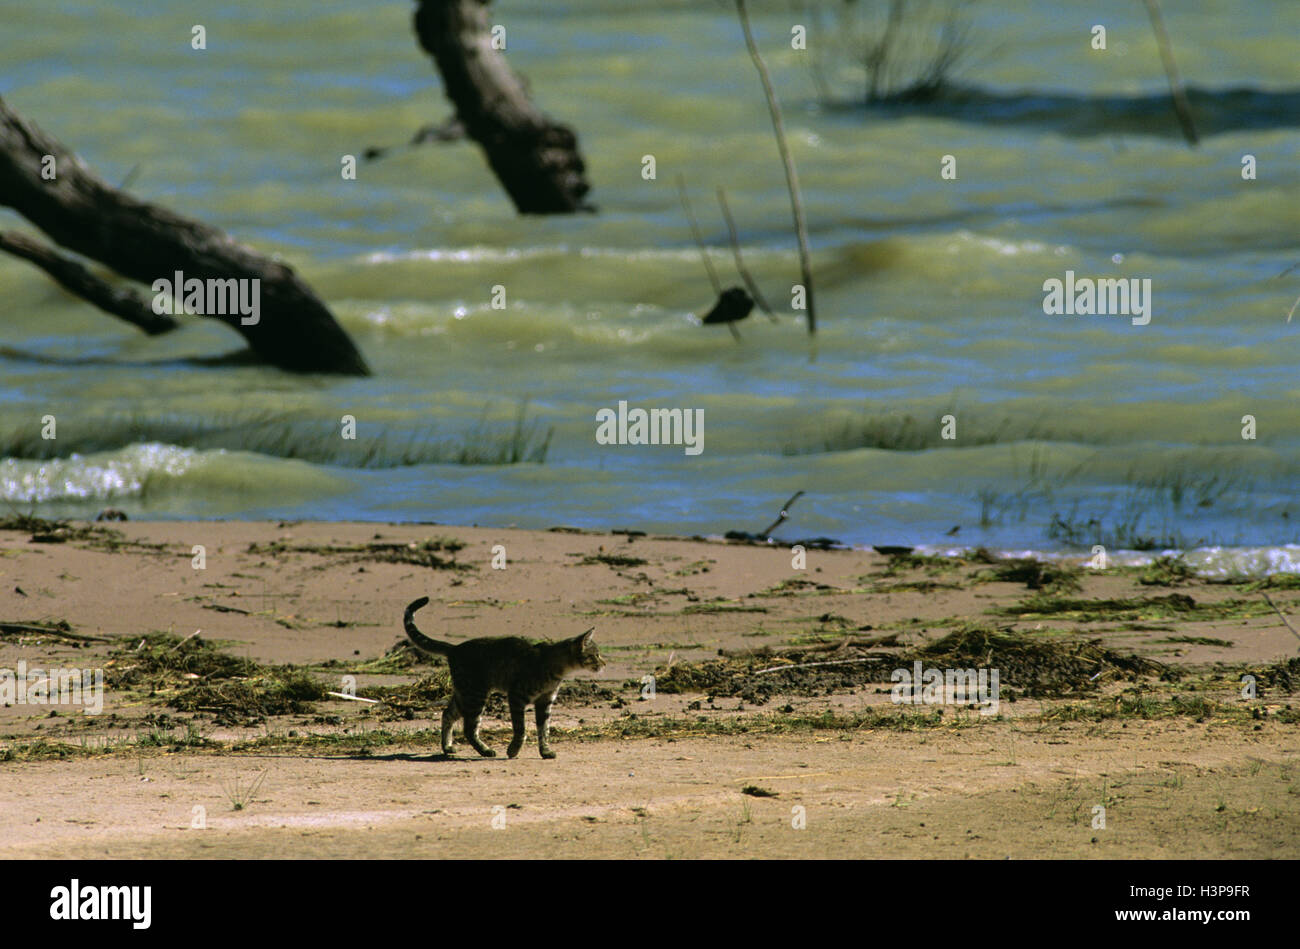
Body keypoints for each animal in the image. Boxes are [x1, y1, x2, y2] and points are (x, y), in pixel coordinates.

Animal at [400, 595, 603, 759]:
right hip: (475, 694)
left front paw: (545, 751)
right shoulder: (517, 696)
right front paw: (513, 750)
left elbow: (544, 729)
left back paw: (447, 747)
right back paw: (485, 750)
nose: (605, 663)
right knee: (469, 728)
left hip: (464, 693)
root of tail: (455, 648)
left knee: (447, 714)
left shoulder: (545, 702)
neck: (556, 667)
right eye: (596, 655)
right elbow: (521, 728)